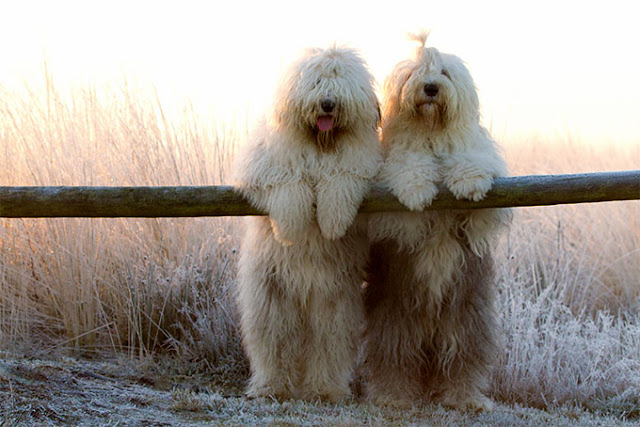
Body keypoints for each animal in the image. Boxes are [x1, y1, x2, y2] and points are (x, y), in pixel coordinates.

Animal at [234, 46, 380, 402]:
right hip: (270, 296)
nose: (328, 103)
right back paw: (271, 386)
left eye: (340, 82)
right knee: (272, 342)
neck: (320, 146)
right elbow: (287, 181)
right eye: (314, 82)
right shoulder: (264, 163)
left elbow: (342, 179)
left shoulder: (361, 167)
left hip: (335, 304)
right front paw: (290, 224)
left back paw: (325, 389)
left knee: (328, 344)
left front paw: (333, 221)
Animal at [364, 31, 510, 412]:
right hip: (396, 317)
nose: (430, 88)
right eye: (414, 74)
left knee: (463, 359)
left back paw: (465, 397)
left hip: (466, 317)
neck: (431, 134)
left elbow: (471, 167)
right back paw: (394, 395)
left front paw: (470, 183)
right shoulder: (394, 173)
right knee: (395, 357)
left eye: (443, 73)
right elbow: (408, 168)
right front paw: (416, 191)